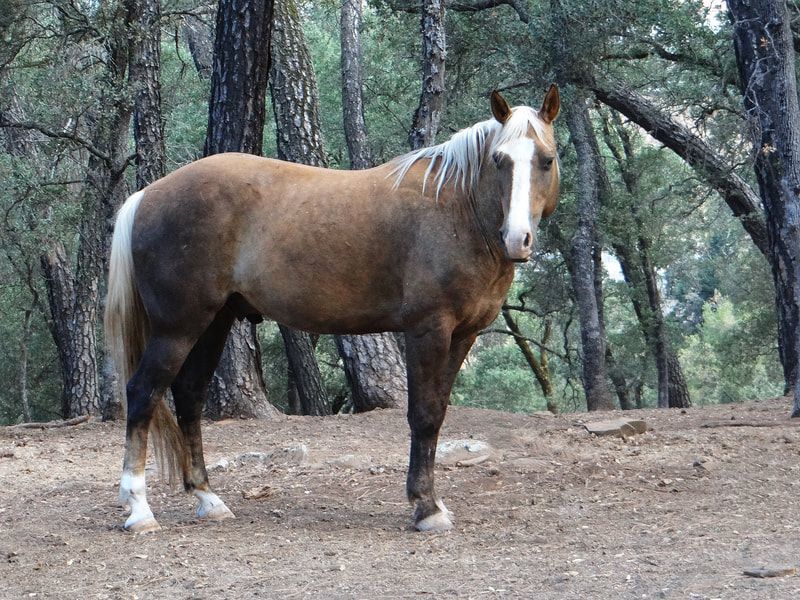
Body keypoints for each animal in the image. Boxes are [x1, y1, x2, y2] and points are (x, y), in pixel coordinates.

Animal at [104, 86, 561, 533]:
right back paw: (139, 510)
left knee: (189, 394)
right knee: (143, 394)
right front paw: (426, 507)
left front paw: (429, 502)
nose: (517, 238)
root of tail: (148, 194)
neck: (456, 211)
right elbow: (424, 415)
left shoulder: (463, 336)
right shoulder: (428, 330)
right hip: (177, 328)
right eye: (500, 160)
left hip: (213, 322)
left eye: (547, 159)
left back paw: (207, 498)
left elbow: (439, 413)